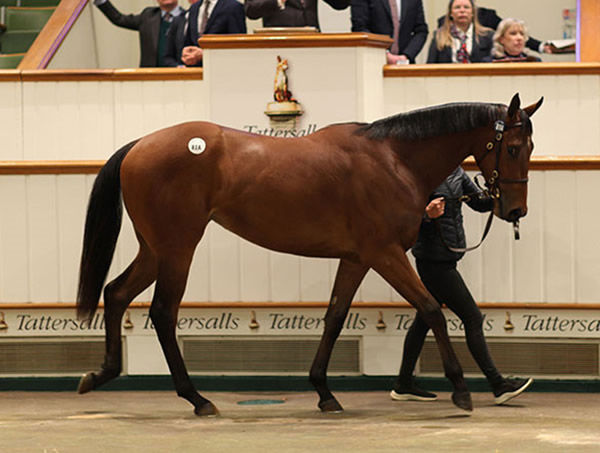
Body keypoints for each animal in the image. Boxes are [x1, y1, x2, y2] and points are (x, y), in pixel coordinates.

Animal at [76, 93, 544, 414]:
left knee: (116, 293)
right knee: (162, 313)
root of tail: (140, 145)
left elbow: (335, 317)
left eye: (531, 148)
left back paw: (101, 373)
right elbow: (431, 309)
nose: (515, 210)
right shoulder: (384, 253)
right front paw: (461, 389)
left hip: (155, 248)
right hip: (178, 248)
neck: (393, 159)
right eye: (513, 148)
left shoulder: (357, 258)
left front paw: (323, 391)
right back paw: (196, 398)